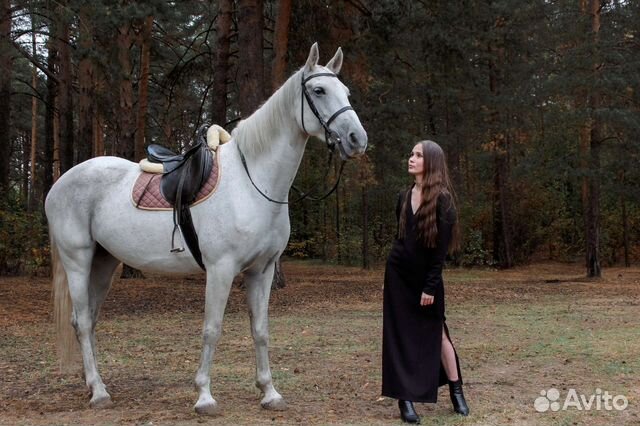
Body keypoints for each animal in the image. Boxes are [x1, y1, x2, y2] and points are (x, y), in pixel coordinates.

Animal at [45, 43, 367, 415]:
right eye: (318, 90)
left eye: (345, 92)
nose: (357, 139)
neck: (252, 181)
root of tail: (60, 183)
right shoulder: (221, 269)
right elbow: (212, 329)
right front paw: (204, 396)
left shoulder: (262, 271)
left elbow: (260, 330)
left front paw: (269, 392)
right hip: (78, 261)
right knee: (83, 322)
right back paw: (98, 392)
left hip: (104, 262)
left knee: (90, 319)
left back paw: (95, 383)